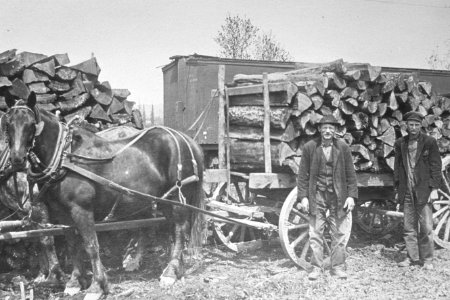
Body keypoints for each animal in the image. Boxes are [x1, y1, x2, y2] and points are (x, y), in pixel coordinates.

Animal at [1, 94, 205, 298]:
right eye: (8, 123)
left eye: (31, 124)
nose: (17, 158)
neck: (64, 158)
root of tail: (187, 140)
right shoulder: (63, 213)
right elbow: (73, 245)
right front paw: (75, 281)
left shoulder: (81, 210)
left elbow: (91, 246)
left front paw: (97, 286)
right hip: (164, 200)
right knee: (174, 229)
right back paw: (176, 268)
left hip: (177, 198)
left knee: (180, 230)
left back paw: (170, 273)